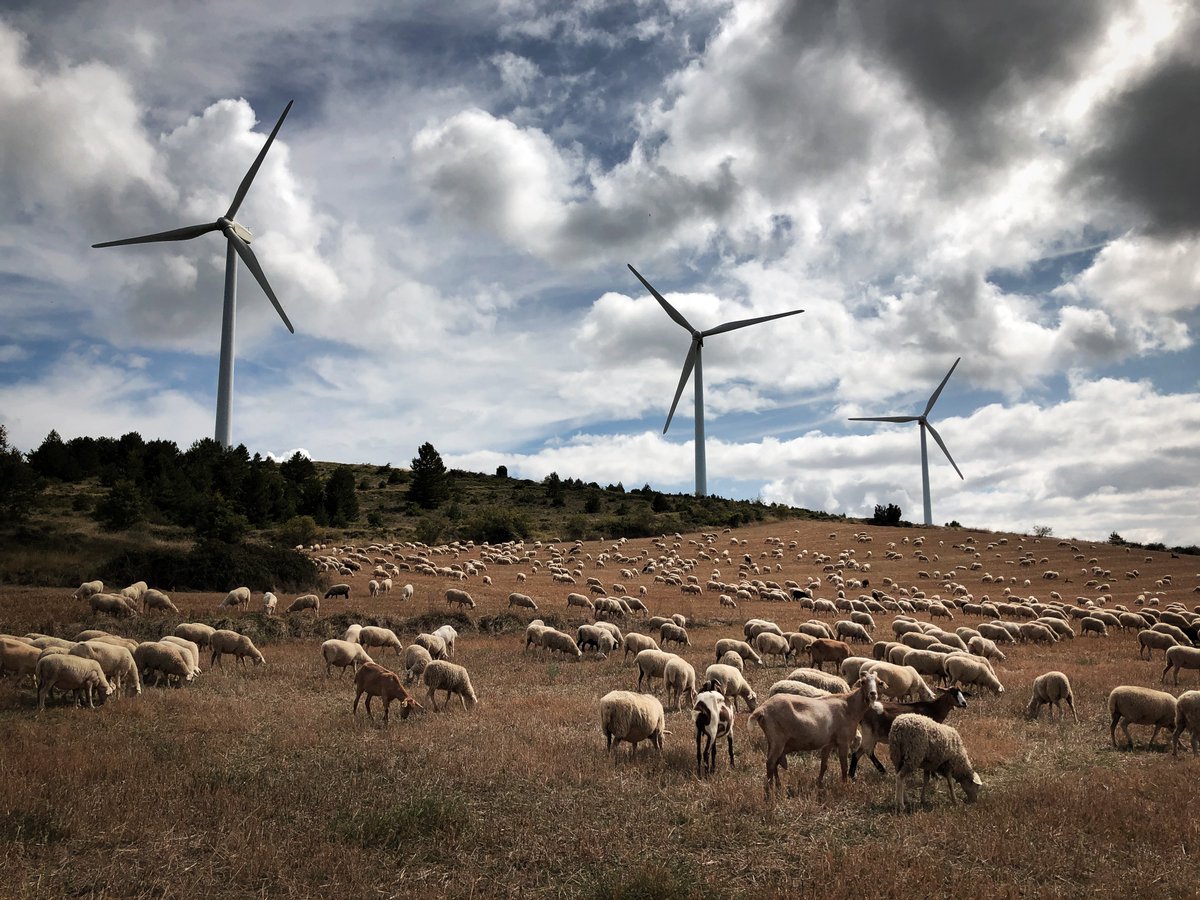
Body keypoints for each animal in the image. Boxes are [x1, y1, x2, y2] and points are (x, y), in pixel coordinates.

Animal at [753, 672, 888, 792]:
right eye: (863, 682)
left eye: (879, 682)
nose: (872, 694)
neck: (849, 706)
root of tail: (762, 709)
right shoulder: (843, 741)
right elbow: (844, 766)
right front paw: (845, 786)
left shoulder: (828, 743)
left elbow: (824, 765)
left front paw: (819, 783)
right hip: (778, 740)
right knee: (770, 763)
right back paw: (770, 791)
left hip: (773, 741)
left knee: (774, 763)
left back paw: (778, 786)